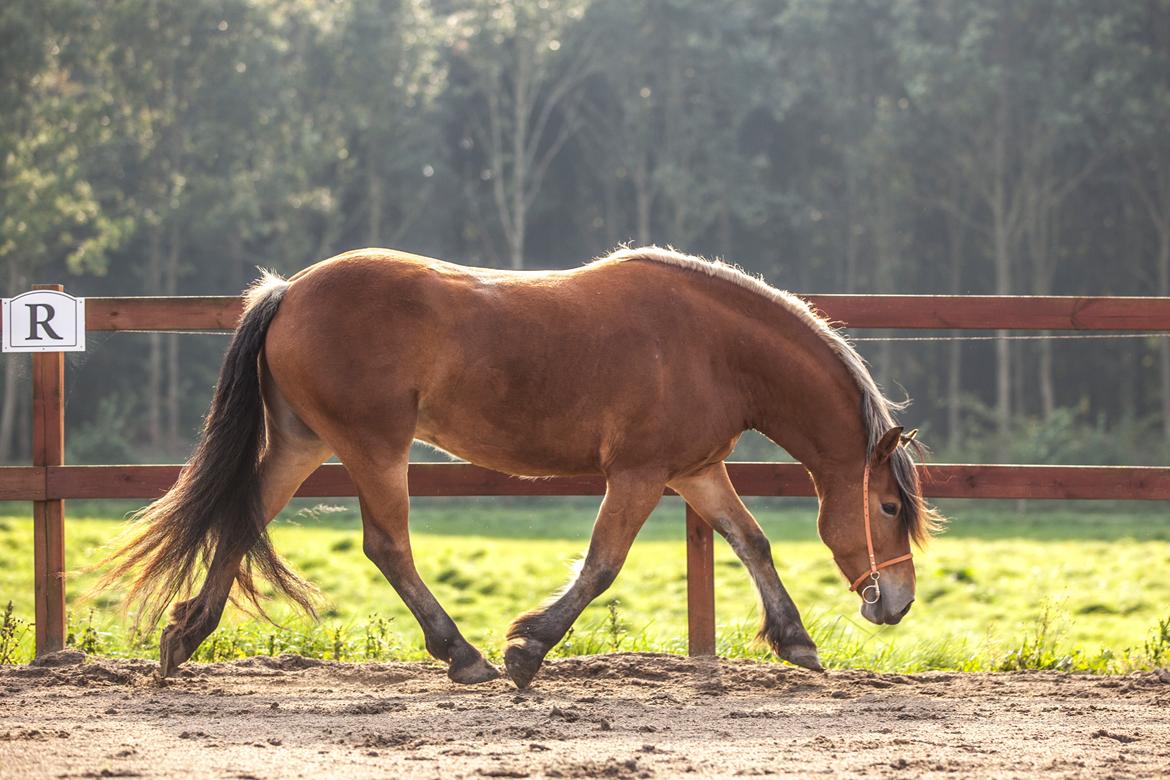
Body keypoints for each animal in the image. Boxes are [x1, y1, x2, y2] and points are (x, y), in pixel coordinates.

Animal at [100, 245, 940, 687]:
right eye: (890, 508)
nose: (895, 602)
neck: (713, 347)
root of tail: (289, 290)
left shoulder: (695, 472)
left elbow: (752, 542)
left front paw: (795, 640)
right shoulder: (639, 474)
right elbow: (601, 565)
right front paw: (526, 647)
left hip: (304, 444)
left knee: (243, 518)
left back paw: (183, 637)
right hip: (374, 448)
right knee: (387, 546)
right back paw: (463, 654)